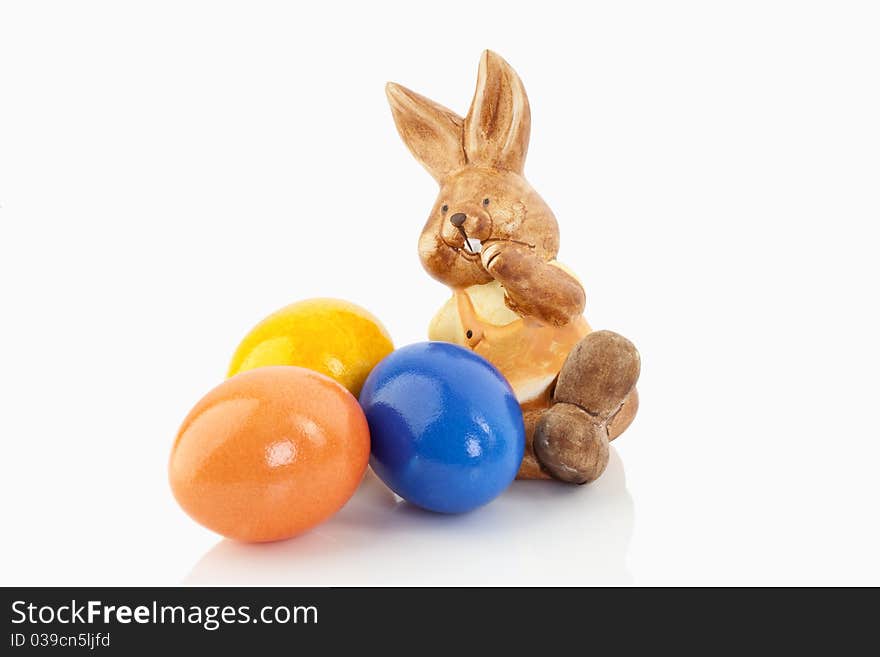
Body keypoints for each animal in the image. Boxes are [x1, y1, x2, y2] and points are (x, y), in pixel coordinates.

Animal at [384, 51, 640, 482]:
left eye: (487, 200)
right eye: (444, 209)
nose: (458, 220)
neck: (484, 286)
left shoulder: (559, 275)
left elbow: (568, 297)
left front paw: (505, 258)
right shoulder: (445, 319)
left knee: (608, 357)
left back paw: (570, 439)